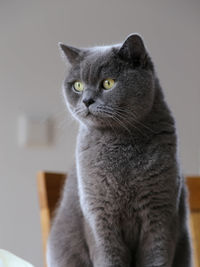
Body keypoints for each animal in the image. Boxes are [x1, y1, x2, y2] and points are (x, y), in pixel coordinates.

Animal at [47, 34, 192, 267]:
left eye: (108, 83)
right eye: (78, 85)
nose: (86, 100)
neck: (120, 145)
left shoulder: (160, 214)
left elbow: (156, 256)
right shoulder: (99, 216)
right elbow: (108, 257)